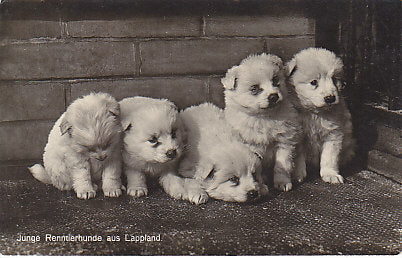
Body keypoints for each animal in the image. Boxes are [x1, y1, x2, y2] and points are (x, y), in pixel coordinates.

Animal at [223, 53, 302, 191]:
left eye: (275, 80)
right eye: (254, 89)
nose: (274, 96)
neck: (264, 117)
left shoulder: (284, 141)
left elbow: (282, 165)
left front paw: (282, 182)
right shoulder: (251, 145)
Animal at [286, 46, 354, 183]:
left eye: (334, 79)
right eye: (313, 82)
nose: (330, 98)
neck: (315, 113)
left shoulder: (334, 134)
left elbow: (330, 157)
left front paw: (331, 174)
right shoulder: (298, 136)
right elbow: (298, 157)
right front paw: (297, 175)